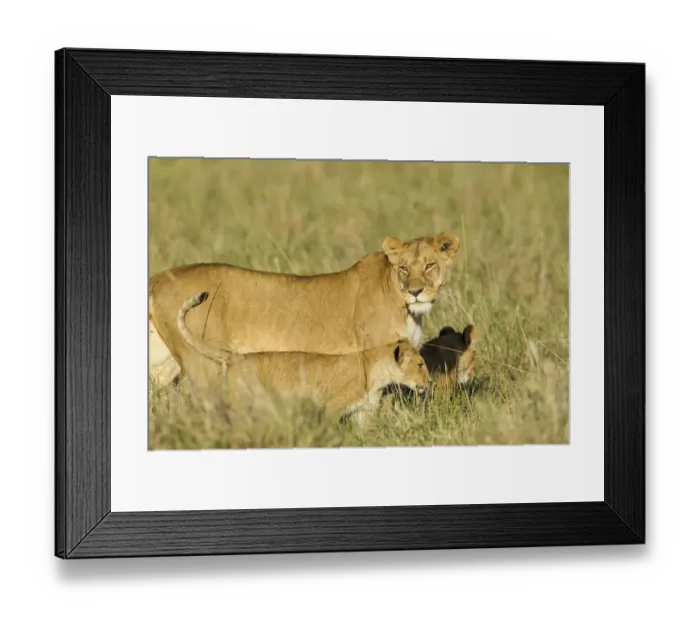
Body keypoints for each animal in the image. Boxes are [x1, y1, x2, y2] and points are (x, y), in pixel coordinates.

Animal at [149, 232, 460, 387]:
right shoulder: (377, 356)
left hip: (163, 364)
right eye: (404, 268)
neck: (407, 309)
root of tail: (159, 277)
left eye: (430, 265)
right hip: (203, 364)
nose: (415, 291)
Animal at [175, 292, 432, 424]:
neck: (377, 374)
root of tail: (236, 357)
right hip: (242, 403)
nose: (429, 382)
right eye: (420, 364)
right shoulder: (330, 409)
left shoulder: (363, 413)